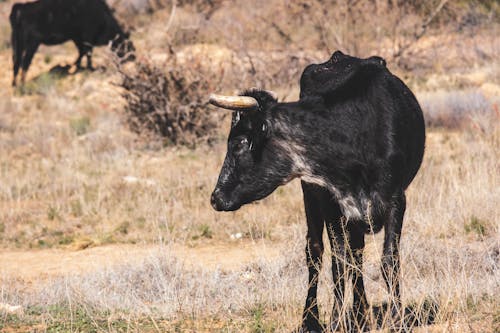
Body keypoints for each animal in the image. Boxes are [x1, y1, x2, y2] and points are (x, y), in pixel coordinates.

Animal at [209, 50, 424, 330]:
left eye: (239, 143)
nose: (216, 197)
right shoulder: (331, 203)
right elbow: (338, 264)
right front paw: (335, 321)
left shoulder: (396, 200)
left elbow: (389, 260)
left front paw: (397, 319)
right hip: (311, 196)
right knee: (317, 252)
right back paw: (313, 318)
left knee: (356, 254)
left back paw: (360, 314)